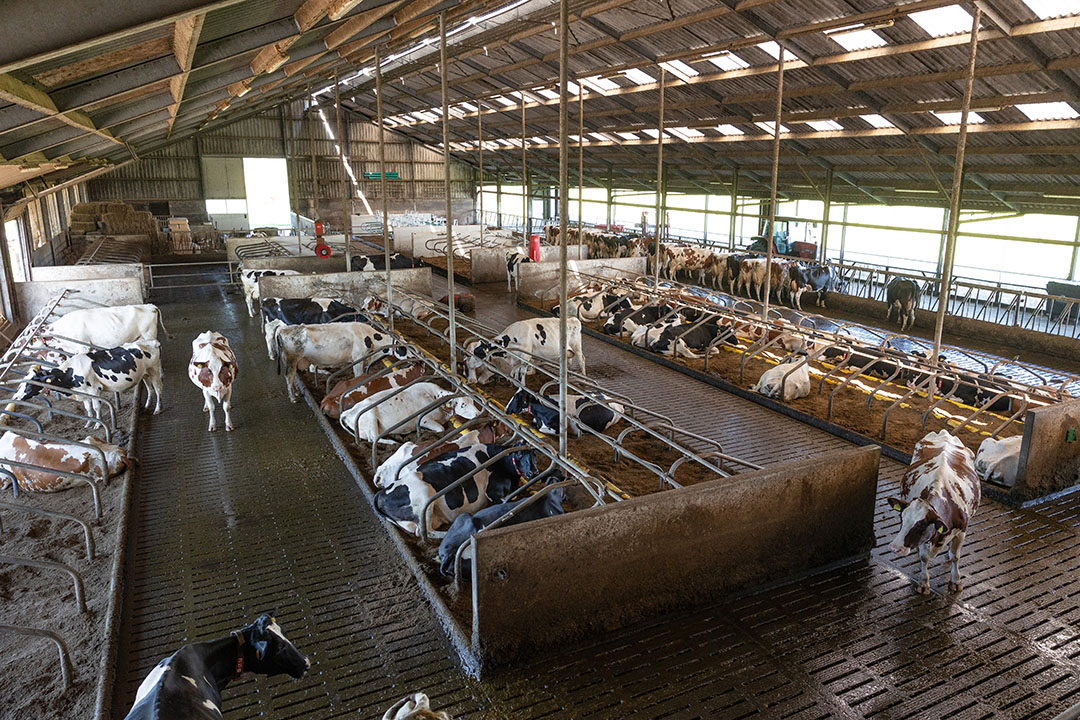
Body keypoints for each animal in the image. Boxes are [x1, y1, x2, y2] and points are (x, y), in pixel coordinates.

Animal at [373, 442, 537, 537]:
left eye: (535, 455)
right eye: (520, 454)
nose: (533, 472)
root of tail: (381, 494)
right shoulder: (492, 491)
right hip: (424, 495)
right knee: (425, 532)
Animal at [885, 431, 980, 595]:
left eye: (921, 525)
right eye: (901, 519)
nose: (895, 548)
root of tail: (945, 433)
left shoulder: (961, 531)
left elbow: (955, 556)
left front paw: (956, 581)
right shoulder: (926, 537)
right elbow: (924, 558)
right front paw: (924, 583)